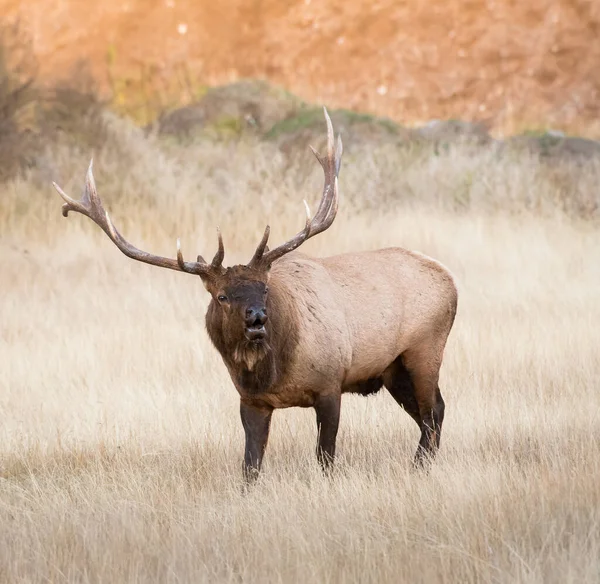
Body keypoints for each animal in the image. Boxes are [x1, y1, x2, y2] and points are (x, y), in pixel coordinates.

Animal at [55, 107, 460, 482]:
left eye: (264, 288)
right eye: (222, 296)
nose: (256, 320)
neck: (273, 373)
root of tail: (450, 279)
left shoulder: (331, 383)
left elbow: (325, 458)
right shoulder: (250, 401)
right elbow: (250, 466)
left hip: (424, 348)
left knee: (433, 411)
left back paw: (420, 467)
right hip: (392, 370)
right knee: (429, 413)